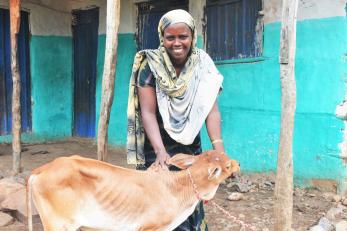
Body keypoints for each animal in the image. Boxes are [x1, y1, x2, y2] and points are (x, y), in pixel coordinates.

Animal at [27, 151, 241, 230]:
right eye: (227, 166)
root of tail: (41, 170)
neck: (178, 188)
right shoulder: (147, 227)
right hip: (57, 225)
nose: (238, 163)